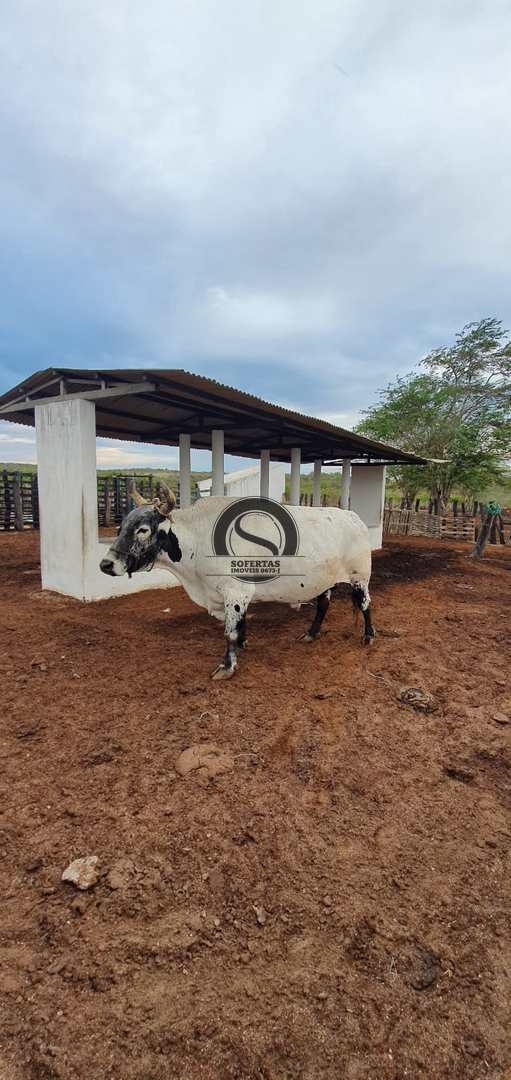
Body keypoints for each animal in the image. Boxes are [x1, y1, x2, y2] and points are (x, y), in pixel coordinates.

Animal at [99, 486, 371, 678]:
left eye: (143, 529)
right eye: (120, 527)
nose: (106, 564)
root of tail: (352, 516)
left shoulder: (236, 592)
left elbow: (229, 631)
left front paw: (227, 666)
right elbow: (239, 625)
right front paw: (242, 643)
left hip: (360, 576)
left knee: (365, 604)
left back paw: (368, 636)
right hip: (326, 581)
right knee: (324, 605)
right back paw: (311, 633)